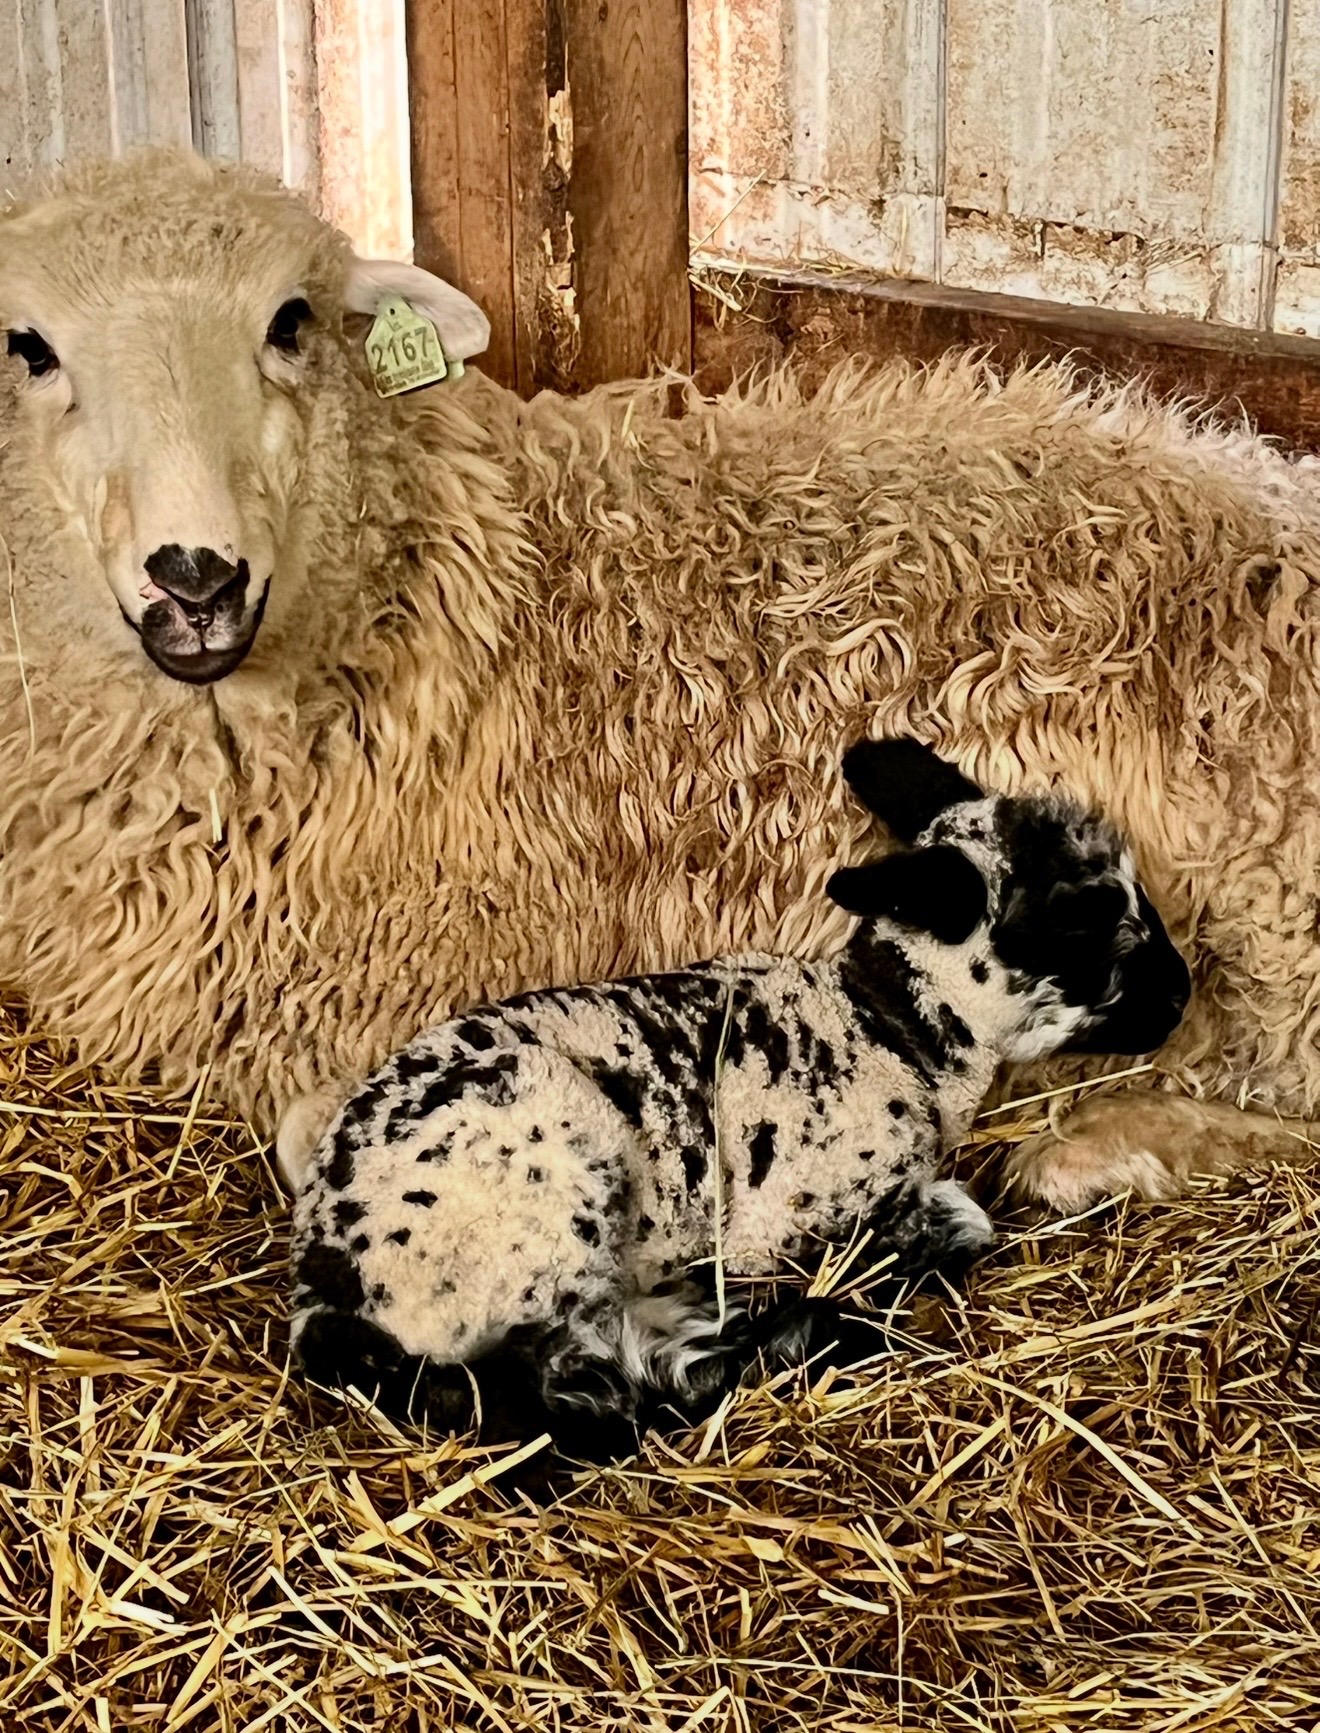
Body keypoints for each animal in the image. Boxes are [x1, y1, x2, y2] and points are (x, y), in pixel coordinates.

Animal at [0, 146, 1317, 1216]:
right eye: (31, 348)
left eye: (291, 321)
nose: (196, 577)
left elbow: (316, 1131)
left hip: (1264, 894)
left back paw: (1095, 1145)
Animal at [284, 740, 1191, 1456]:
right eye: (1077, 923)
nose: (1183, 993)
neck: (888, 1029)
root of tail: (330, 1280)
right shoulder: (787, 1217)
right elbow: (962, 1222)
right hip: (551, 1192)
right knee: (553, 1396)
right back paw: (784, 1343)